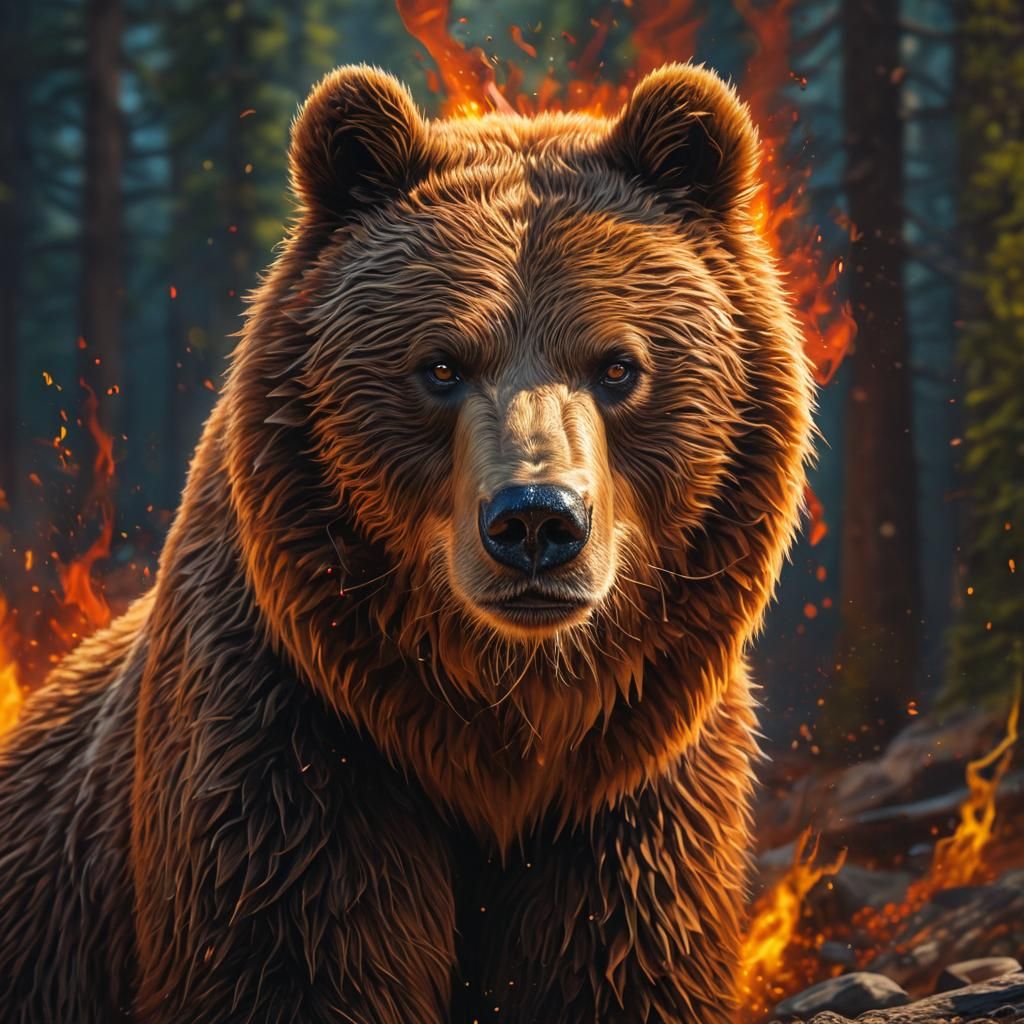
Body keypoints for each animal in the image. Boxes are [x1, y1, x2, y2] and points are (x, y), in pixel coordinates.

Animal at [0, 63, 812, 1023]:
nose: (535, 522)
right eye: (441, 365)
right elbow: (296, 962)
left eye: (618, 365)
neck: (496, 734)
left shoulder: (633, 798)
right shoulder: (291, 764)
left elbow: (615, 964)